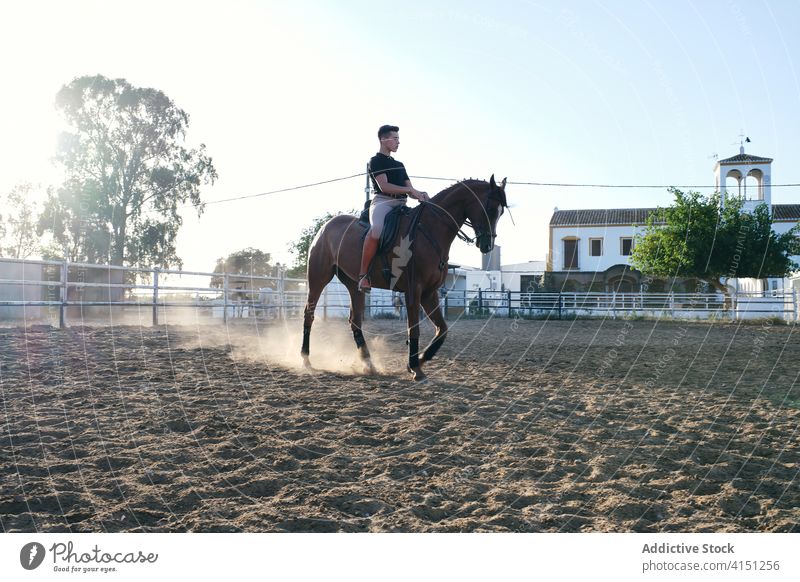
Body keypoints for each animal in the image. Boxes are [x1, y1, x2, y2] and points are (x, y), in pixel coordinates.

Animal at [300, 176, 506, 380]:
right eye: (489, 208)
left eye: (501, 212)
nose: (487, 245)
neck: (430, 229)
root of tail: (325, 227)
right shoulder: (414, 290)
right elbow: (414, 329)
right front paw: (415, 367)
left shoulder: (429, 292)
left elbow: (442, 330)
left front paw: (419, 360)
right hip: (318, 278)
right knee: (309, 314)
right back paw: (306, 359)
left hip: (354, 285)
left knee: (355, 320)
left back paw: (368, 364)